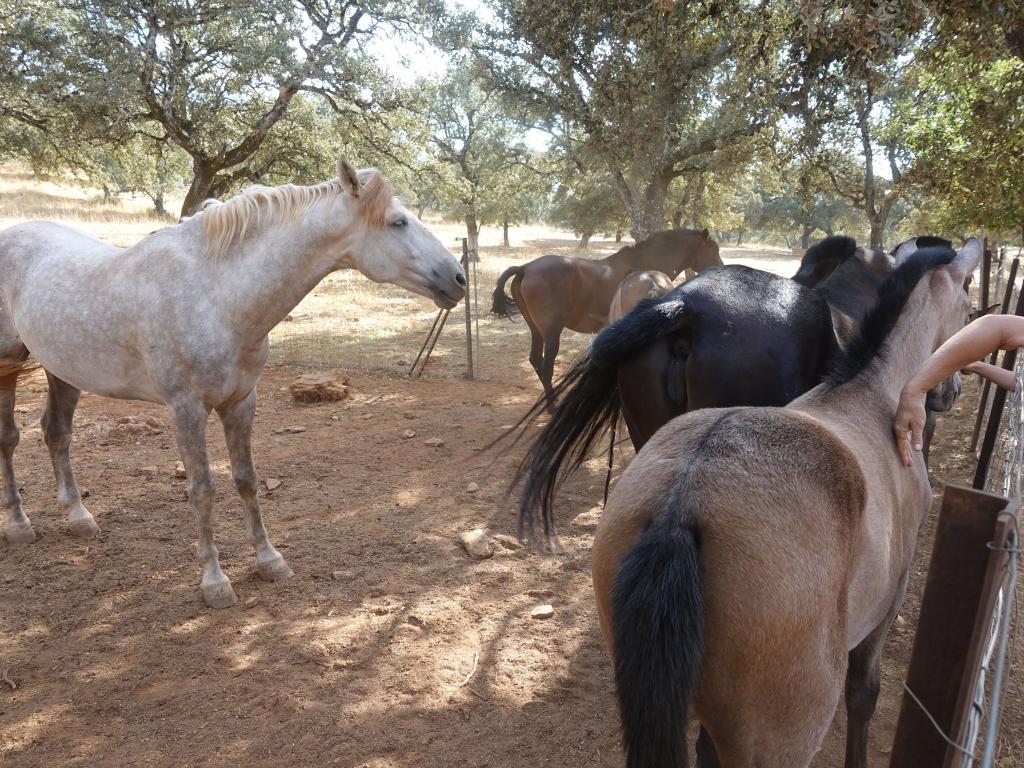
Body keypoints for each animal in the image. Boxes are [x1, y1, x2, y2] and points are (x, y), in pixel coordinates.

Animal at [1, 156, 468, 610]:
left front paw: (269, 560)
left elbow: (246, 479)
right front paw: (215, 582)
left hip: (63, 371)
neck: (218, 295)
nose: (459, 279)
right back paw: (20, 525)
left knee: (56, 434)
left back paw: (78, 517)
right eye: (397, 222)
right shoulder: (186, 409)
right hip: (7, 368)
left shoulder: (242, 401)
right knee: (10, 439)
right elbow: (202, 490)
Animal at [489, 228, 720, 405]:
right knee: (546, 368)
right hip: (552, 332)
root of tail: (526, 267)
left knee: (535, 360)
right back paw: (553, 407)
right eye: (714, 249)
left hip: (536, 329)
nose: (720, 267)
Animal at [581, 237, 978, 765]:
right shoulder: (890, 600)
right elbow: (864, 694)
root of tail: (680, 507)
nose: (950, 392)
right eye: (969, 308)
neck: (871, 397)